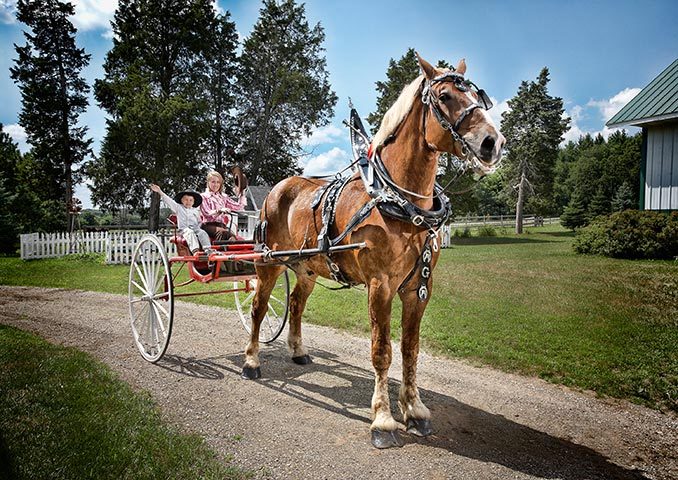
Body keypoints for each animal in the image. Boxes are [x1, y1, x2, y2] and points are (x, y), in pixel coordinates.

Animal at [243, 54, 504, 448]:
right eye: (444, 96)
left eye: (477, 96)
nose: (493, 142)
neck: (400, 202)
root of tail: (278, 188)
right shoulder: (380, 285)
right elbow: (382, 351)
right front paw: (383, 419)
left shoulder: (418, 288)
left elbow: (410, 349)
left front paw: (415, 410)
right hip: (268, 262)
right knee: (259, 309)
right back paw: (252, 361)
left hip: (307, 268)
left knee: (296, 305)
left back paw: (299, 351)